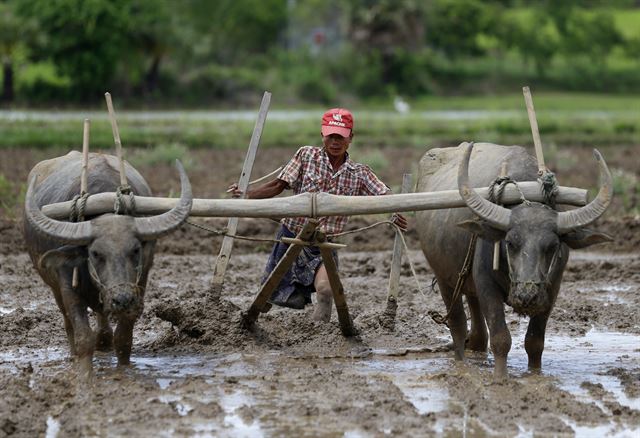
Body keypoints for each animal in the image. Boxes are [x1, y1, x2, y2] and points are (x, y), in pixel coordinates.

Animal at [23, 152, 192, 378]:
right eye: (95, 253)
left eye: (135, 250)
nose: (122, 299)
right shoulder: (68, 285)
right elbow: (83, 336)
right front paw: (84, 374)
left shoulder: (140, 286)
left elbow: (123, 338)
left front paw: (124, 370)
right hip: (54, 287)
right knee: (68, 322)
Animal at [418, 143, 612, 376]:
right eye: (510, 243)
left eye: (552, 246)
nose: (527, 296)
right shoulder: (487, 286)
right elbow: (501, 338)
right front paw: (501, 377)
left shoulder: (552, 290)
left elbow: (534, 342)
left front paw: (534, 374)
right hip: (444, 278)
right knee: (458, 325)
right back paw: (461, 364)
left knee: (476, 322)